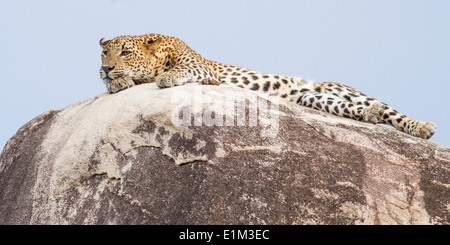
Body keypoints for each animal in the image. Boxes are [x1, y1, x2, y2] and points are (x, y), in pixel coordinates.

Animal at [98, 33, 436, 139]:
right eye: (105, 52)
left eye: (125, 52)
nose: (106, 68)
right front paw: (118, 82)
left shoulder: (199, 65)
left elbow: (180, 70)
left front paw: (164, 77)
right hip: (313, 99)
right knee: (353, 108)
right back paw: (370, 115)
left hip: (346, 90)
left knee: (392, 112)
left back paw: (421, 127)